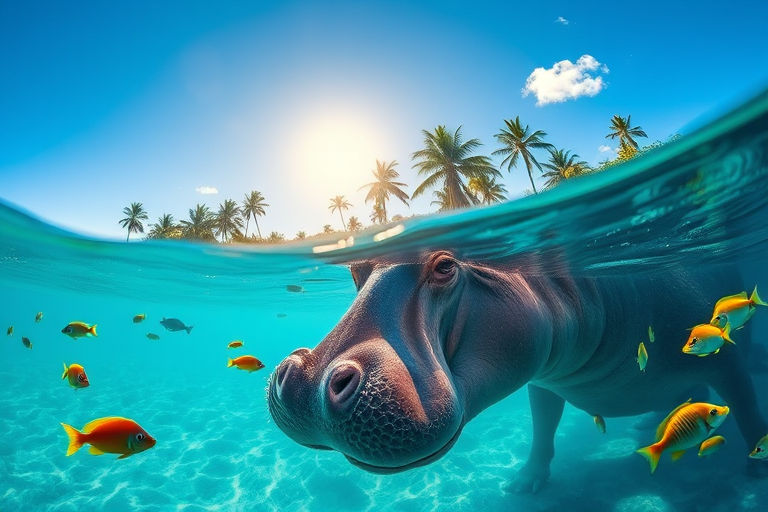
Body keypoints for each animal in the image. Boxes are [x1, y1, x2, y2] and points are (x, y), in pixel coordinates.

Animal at [267, 251, 767, 492]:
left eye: (445, 265)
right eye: (356, 269)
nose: (303, 382)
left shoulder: (727, 363)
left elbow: (745, 406)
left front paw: (756, 469)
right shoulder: (544, 381)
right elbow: (543, 428)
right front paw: (523, 484)